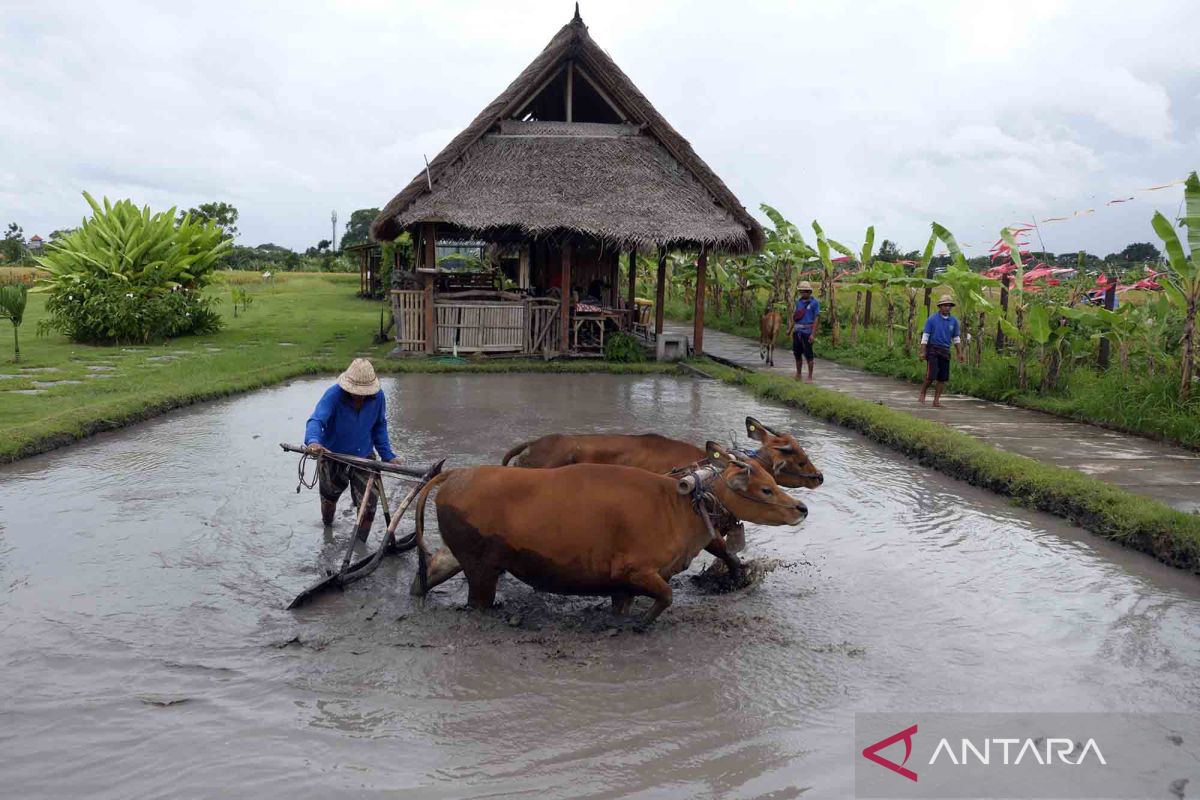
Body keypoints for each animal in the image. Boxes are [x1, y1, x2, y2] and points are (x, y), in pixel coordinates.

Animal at [410, 443, 806, 623]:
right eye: (766, 489)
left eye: (773, 480)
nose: (801, 508)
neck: (676, 507)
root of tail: (455, 476)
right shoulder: (637, 572)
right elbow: (666, 598)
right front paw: (643, 624)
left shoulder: (623, 587)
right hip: (481, 571)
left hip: (465, 560)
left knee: (431, 569)